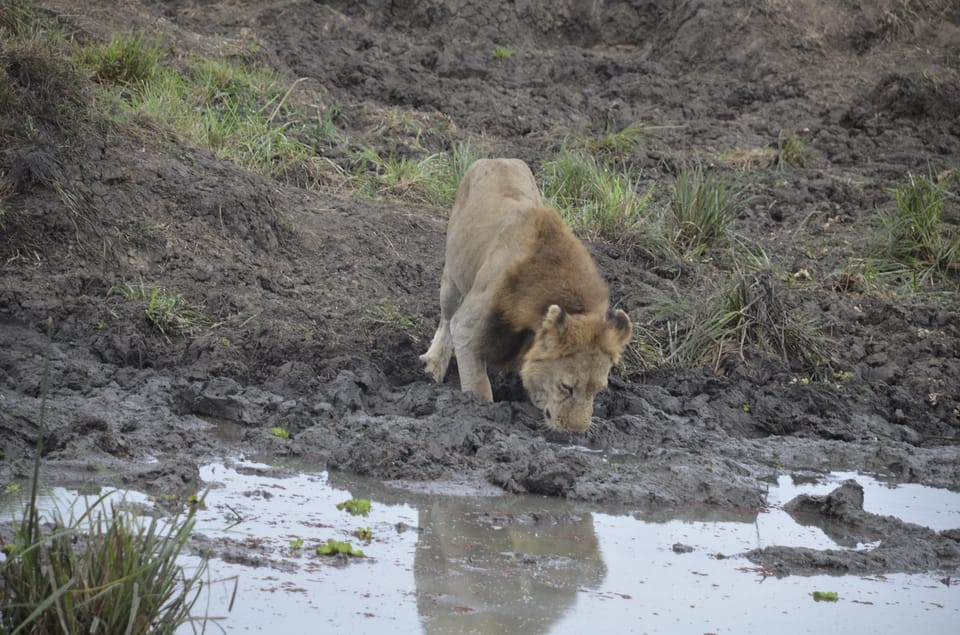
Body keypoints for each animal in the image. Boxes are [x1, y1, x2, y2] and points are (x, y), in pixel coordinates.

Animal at [418, 158, 632, 432]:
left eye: (598, 391)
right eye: (566, 387)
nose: (576, 430)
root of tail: (496, 158)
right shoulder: (468, 324)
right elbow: (477, 383)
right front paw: (479, 411)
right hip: (453, 277)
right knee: (445, 319)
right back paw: (434, 364)